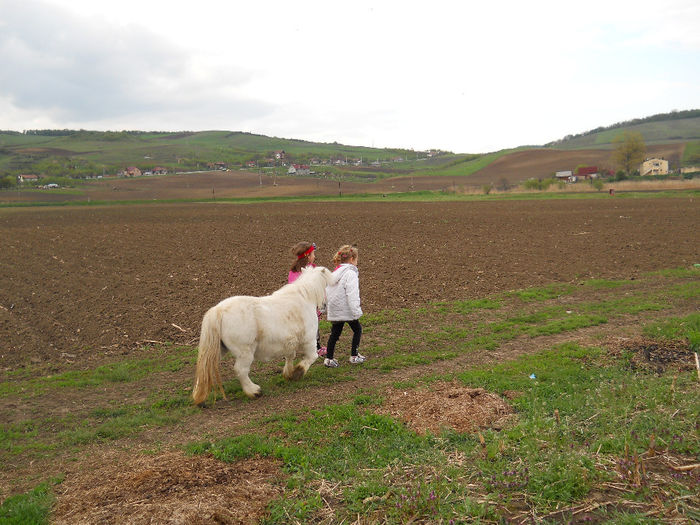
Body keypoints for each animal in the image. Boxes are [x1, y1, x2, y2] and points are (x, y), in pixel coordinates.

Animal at [191, 266, 334, 406]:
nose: (325, 306)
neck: (304, 298)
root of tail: (218, 310)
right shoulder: (309, 341)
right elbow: (311, 357)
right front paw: (298, 373)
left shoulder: (289, 343)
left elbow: (290, 357)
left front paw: (288, 374)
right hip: (245, 353)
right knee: (240, 371)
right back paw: (254, 391)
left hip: (218, 350)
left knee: (204, 369)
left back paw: (198, 396)